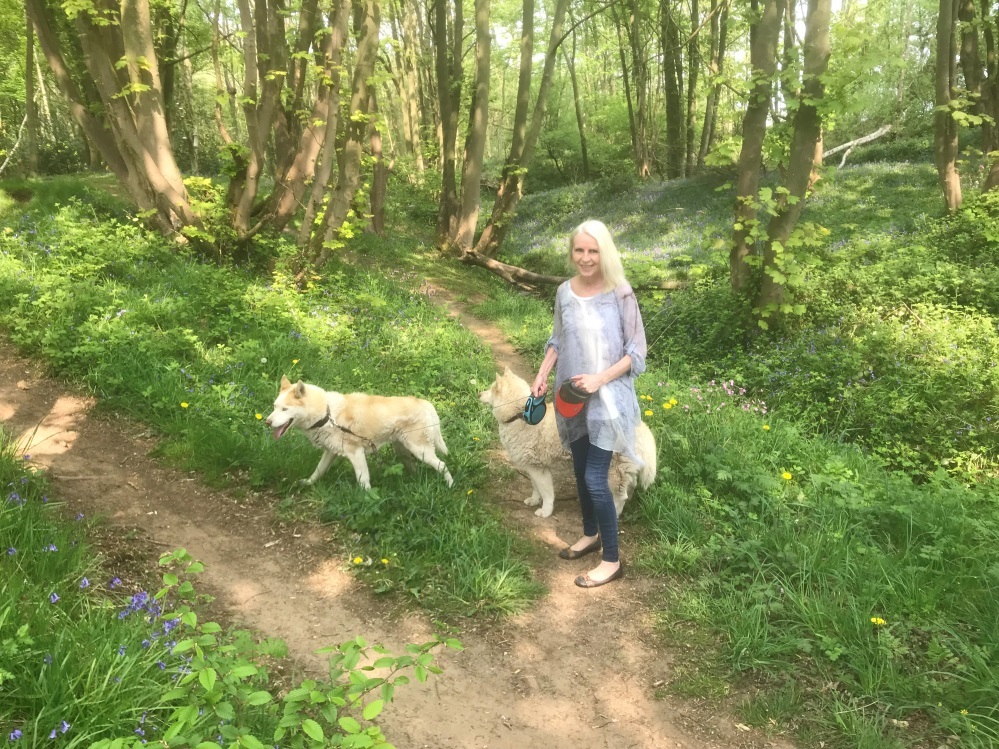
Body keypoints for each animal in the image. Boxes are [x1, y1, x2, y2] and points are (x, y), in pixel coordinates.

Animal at [266, 374, 454, 490]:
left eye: (285, 409)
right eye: (275, 407)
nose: (267, 422)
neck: (327, 414)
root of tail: (425, 403)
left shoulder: (356, 453)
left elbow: (363, 481)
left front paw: (368, 499)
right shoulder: (330, 452)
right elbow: (318, 471)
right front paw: (308, 483)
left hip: (420, 450)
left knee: (442, 465)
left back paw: (450, 485)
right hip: (403, 450)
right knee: (414, 467)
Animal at [480, 366, 660, 516]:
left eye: (491, 389)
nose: (478, 394)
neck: (519, 415)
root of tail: (640, 427)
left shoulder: (540, 470)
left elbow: (547, 493)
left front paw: (545, 512)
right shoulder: (532, 468)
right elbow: (536, 488)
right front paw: (534, 500)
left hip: (614, 474)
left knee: (619, 498)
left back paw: (613, 516)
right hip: (625, 472)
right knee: (628, 491)